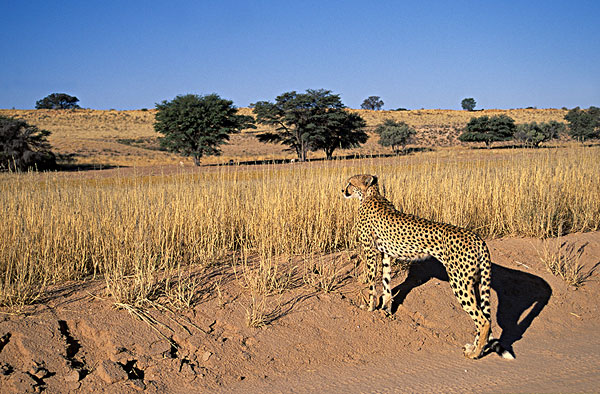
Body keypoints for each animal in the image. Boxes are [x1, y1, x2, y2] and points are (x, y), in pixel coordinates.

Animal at [342, 174, 510, 358]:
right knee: (483, 316)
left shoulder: (370, 250)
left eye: (350, 183)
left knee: (483, 320)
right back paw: (473, 348)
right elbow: (386, 282)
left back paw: (475, 354)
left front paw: (370, 308)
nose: (343, 190)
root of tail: (477, 238)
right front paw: (385, 309)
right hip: (475, 282)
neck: (370, 195)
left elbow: (372, 281)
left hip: (459, 283)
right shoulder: (386, 253)